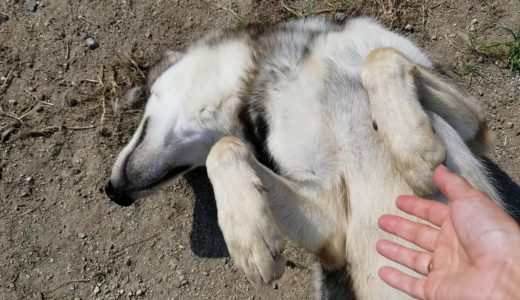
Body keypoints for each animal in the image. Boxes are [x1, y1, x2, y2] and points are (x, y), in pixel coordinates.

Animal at [106, 17, 504, 300]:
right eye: (191, 169)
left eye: (145, 108)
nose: (114, 193)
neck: (289, 65)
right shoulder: (330, 224)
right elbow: (226, 147)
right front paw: (251, 237)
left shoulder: (474, 124)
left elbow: (378, 56)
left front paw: (414, 149)